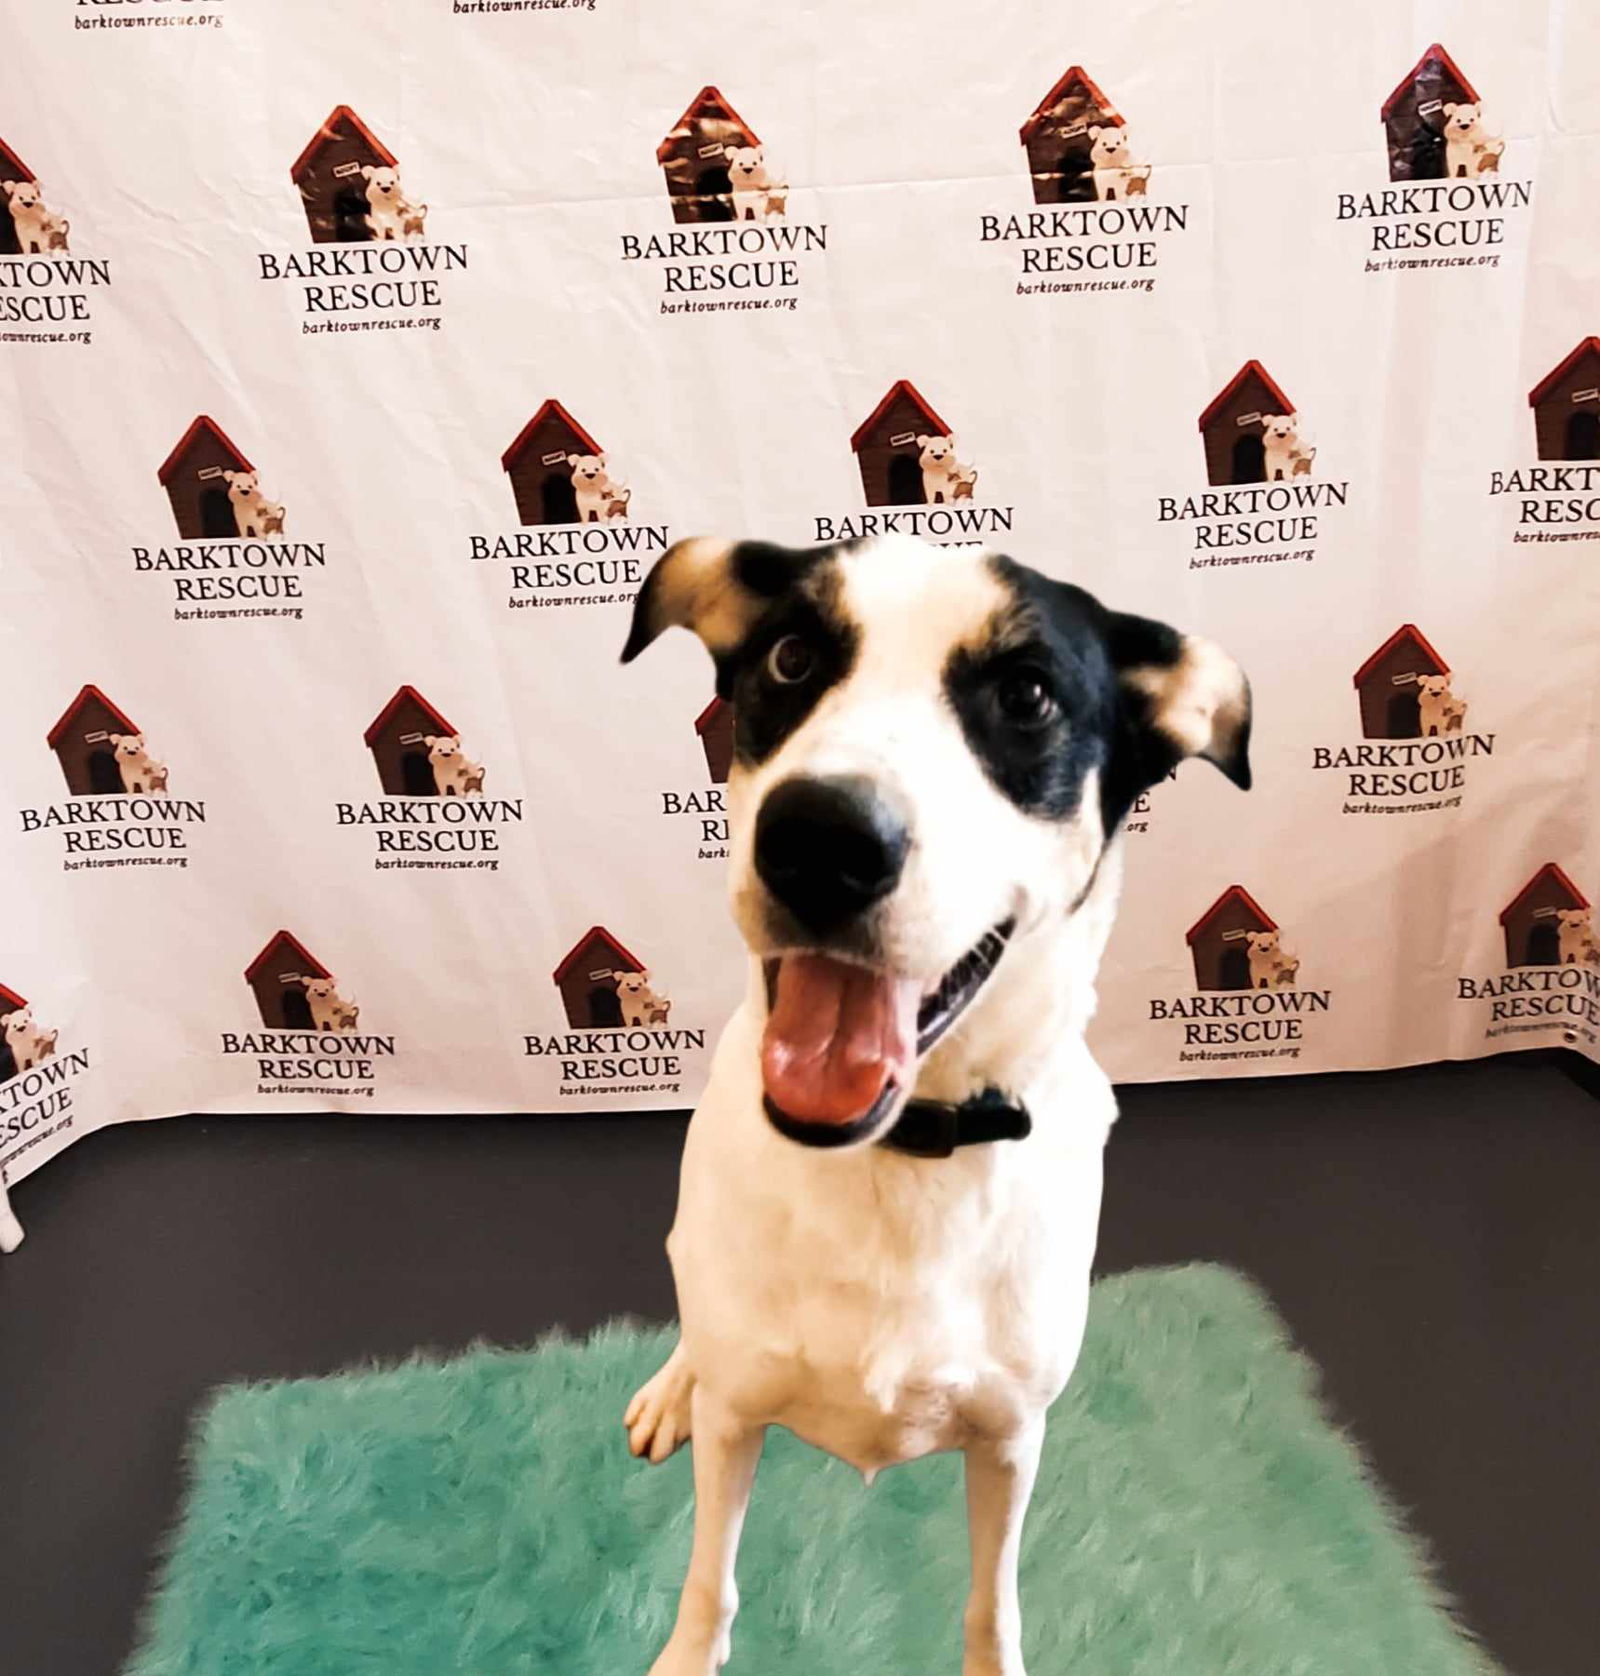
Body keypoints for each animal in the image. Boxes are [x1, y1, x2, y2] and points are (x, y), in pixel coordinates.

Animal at [613, 529, 1253, 1669]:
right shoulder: (738, 1420)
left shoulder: (1010, 1438)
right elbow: (708, 1579)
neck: (900, 1152)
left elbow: (990, 1602)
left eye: (1028, 694)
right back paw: (671, 1383)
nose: (821, 838)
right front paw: (686, 1653)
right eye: (789, 659)